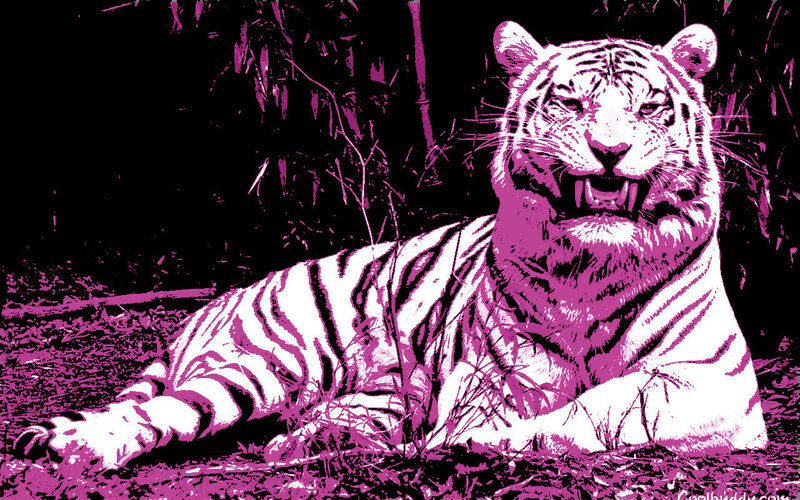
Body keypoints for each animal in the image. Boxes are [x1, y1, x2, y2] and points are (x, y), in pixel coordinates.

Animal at [14, 21, 767, 470]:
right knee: (168, 409)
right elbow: (541, 408)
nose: (609, 152)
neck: (591, 263)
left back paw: (313, 441)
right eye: (570, 103)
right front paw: (463, 439)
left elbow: (599, 408)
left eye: (647, 108)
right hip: (264, 362)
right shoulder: (491, 376)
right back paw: (79, 443)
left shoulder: (709, 380)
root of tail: (211, 305)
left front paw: (471, 443)